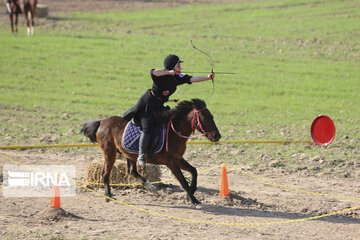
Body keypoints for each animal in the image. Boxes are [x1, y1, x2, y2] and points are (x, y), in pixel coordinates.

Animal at [80, 98, 221, 205]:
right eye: (205, 117)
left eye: (212, 116)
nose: (217, 136)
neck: (174, 132)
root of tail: (102, 122)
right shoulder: (171, 162)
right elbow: (183, 181)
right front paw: (193, 199)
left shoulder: (178, 159)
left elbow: (194, 171)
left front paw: (191, 191)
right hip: (110, 152)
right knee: (105, 173)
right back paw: (108, 195)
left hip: (129, 154)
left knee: (132, 171)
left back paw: (151, 187)